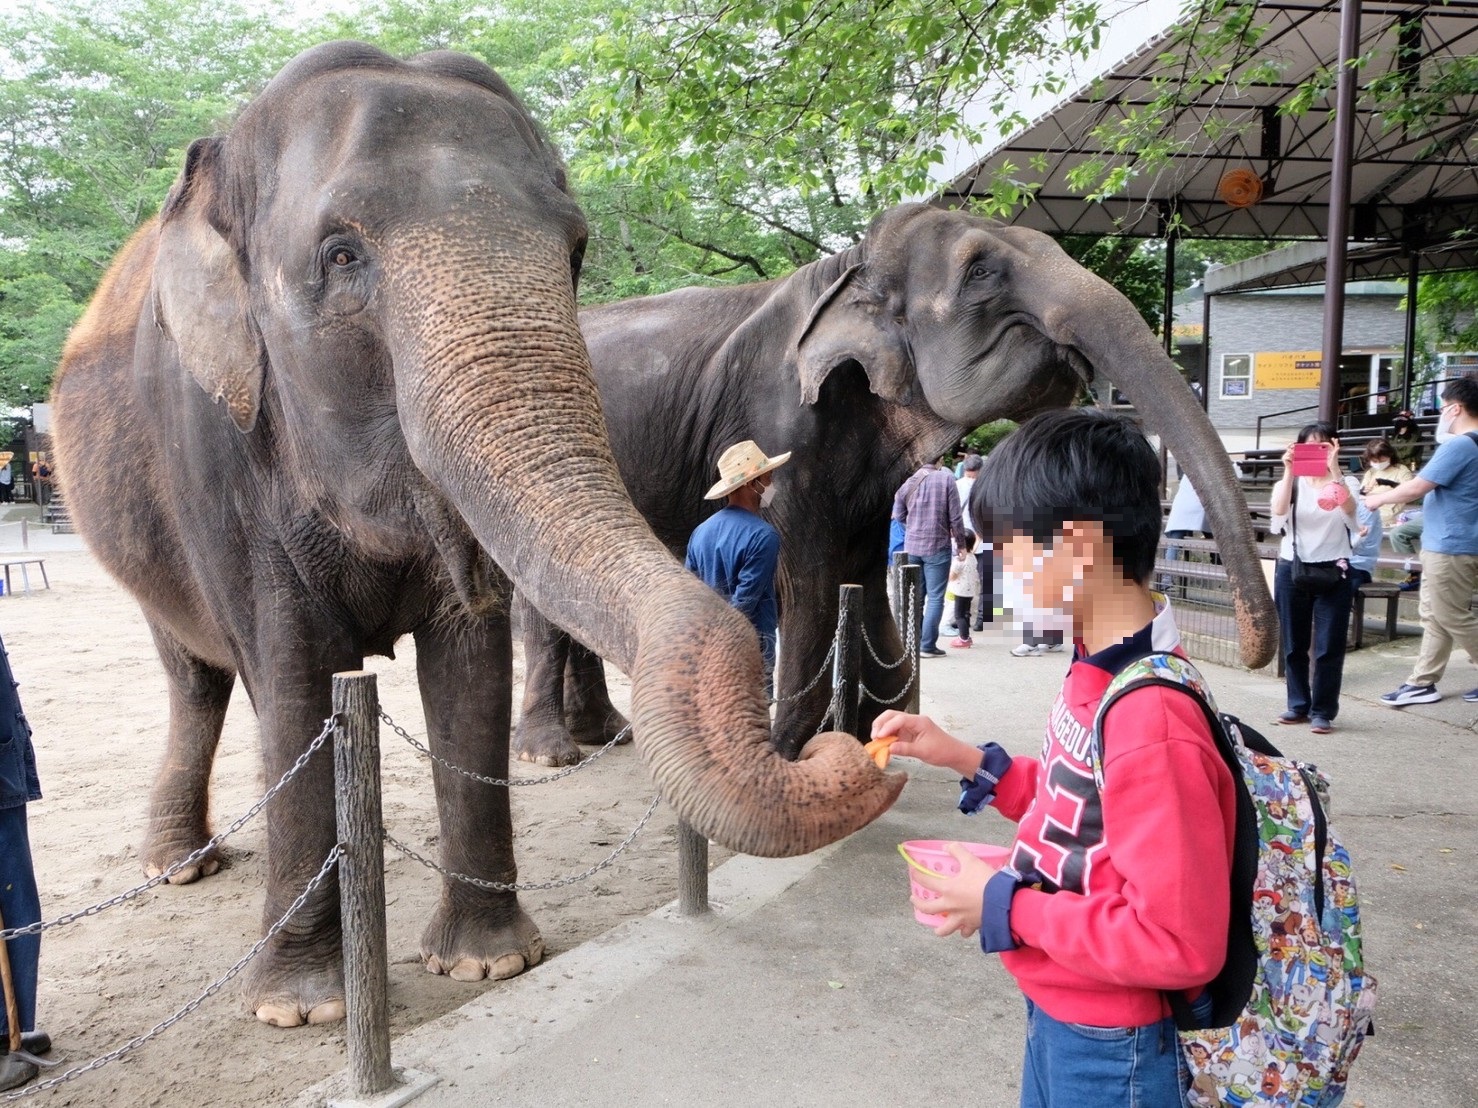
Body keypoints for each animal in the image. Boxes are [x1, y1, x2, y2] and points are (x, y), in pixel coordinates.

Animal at [49, 43, 898, 1034]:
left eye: (575, 252)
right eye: (342, 255)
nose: (853, 747)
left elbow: (471, 667)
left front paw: (490, 963)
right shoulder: (216, 451)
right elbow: (291, 677)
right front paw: (299, 1010)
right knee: (197, 679)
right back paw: (182, 868)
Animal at [514, 203, 1276, 768]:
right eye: (981, 271)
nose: (1251, 654)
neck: (845, 266)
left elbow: (858, 565)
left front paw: (879, 726)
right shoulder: (781, 419)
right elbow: (808, 575)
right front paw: (796, 753)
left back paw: (607, 733)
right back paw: (551, 752)